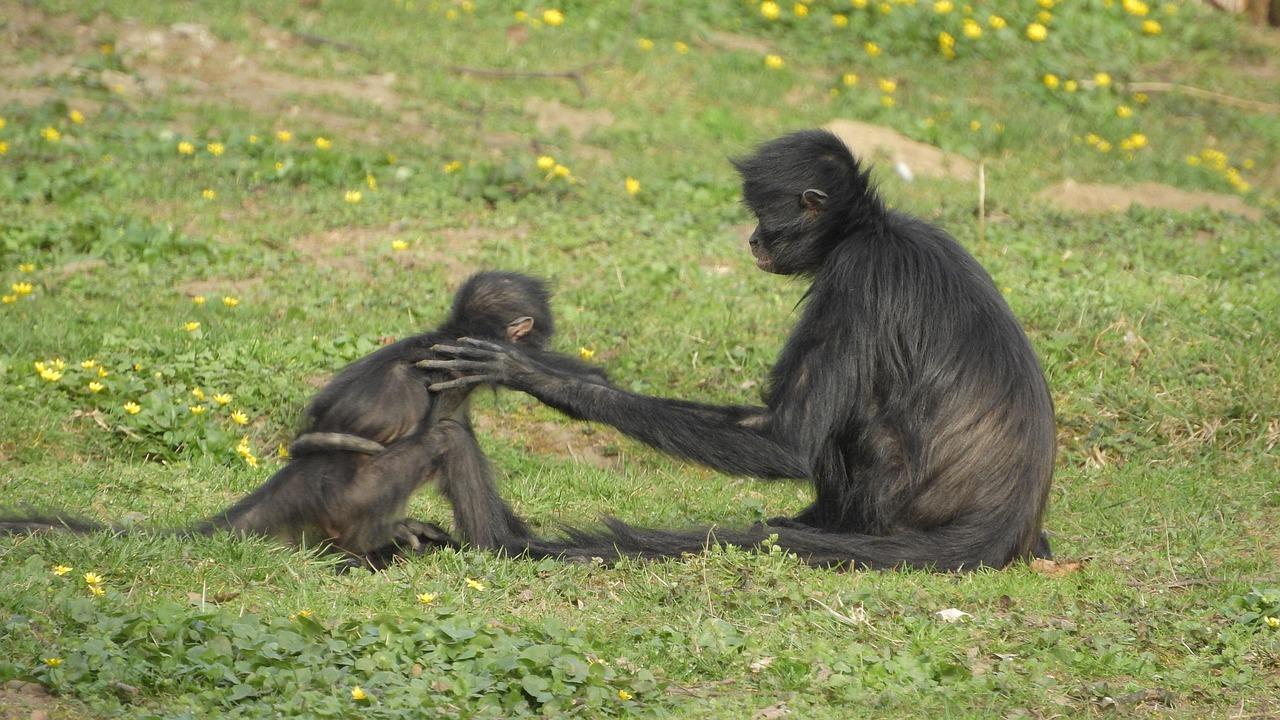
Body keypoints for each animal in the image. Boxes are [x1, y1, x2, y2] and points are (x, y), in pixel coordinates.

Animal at [0, 269, 609, 566]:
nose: (546, 334)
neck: (451, 334)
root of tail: (300, 478)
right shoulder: (461, 364)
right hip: (353, 497)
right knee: (449, 437)